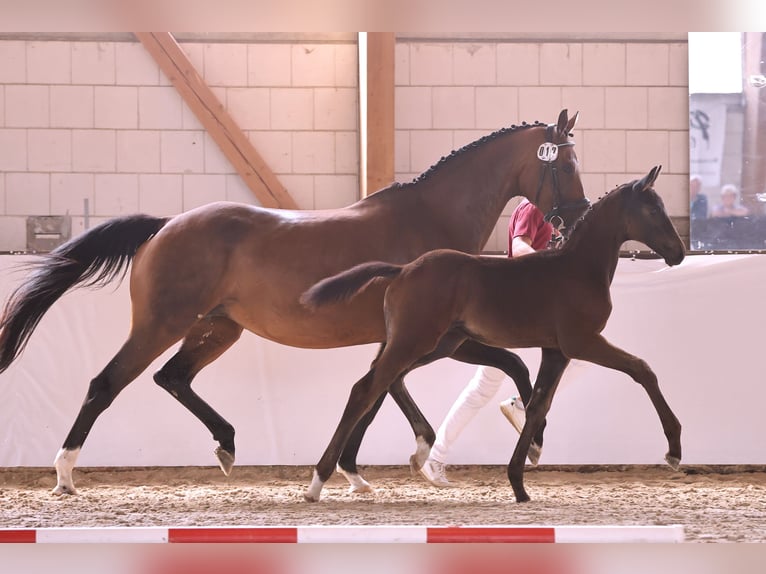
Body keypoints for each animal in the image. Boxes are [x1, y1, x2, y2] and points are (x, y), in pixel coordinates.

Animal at [0, 109, 588, 496]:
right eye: (566, 166)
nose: (577, 217)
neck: (430, 221)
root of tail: (165, 225)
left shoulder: (401, 339)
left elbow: (382, 392)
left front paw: (363, 468)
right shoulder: (441, 338)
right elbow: (500, 367)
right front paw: (527, 434)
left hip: (218, 328)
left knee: (173, 378)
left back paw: (227, 445)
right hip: (160, 325)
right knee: (106, 384)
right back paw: (65, 472)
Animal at [301, 165, 686, 503]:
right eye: (653, 209)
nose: (679, 252)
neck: (577, 268)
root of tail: (404, 269)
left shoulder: (556, 350)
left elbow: (538, 404)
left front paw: (519, 482)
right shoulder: (582, 341)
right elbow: (642, 370)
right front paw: (674, 449)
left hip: (439, 344)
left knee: (388, 381)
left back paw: (419, 450)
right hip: (416, 341)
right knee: (364, 389)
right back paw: (318, 482)